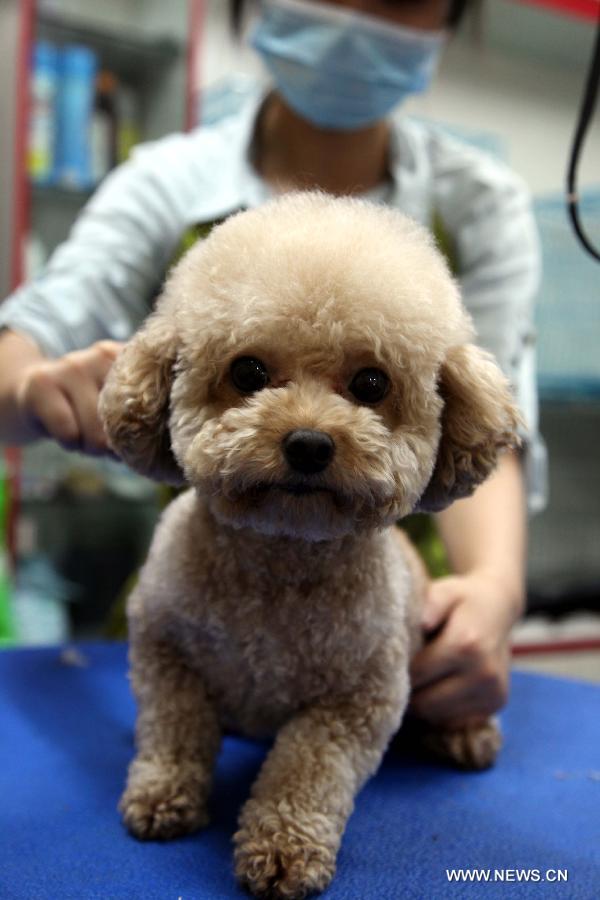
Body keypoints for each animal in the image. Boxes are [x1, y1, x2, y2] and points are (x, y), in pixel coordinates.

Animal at [98, 193, 520, 896]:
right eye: (247, 371)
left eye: (372, 384)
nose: (309, 444)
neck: (279, 561)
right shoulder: (162, 649)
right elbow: (173, 727)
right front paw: (161, 796)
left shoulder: (356, 700)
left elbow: (307, 769)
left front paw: (283, 849)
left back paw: (467, 734)